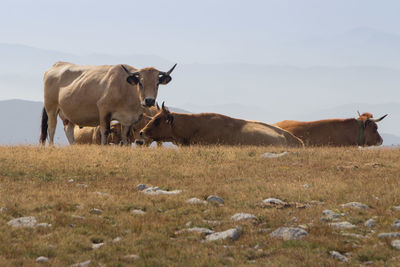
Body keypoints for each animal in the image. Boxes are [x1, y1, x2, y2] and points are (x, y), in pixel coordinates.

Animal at [40, 62, 177, 147]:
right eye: (140, 83)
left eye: (157, 83)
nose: (149, 101)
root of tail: (57, 64)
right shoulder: (104, 111)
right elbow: (105, 131)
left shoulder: (128, 119)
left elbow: (125, 136)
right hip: (51, 108)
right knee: (51, 128)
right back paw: (51, 146)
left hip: (68, 115)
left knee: (68, 130)